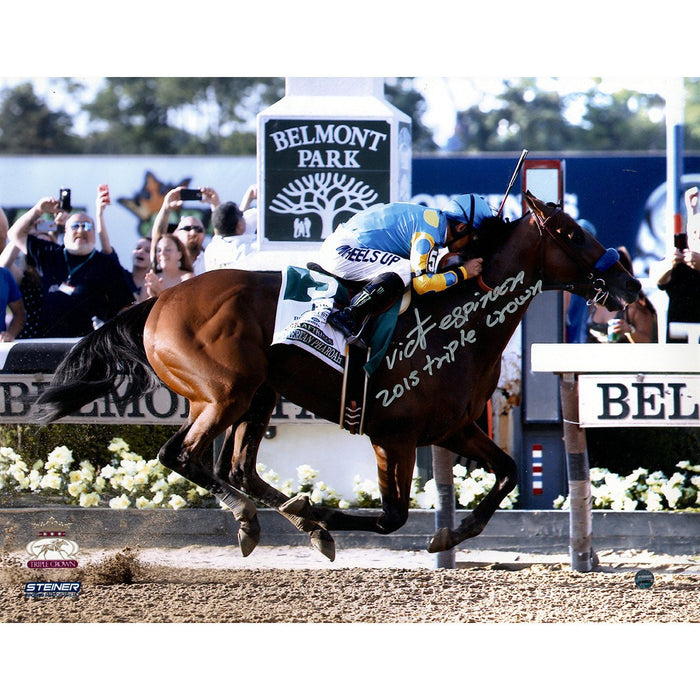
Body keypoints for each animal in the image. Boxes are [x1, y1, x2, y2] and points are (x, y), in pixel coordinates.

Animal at [38, 193, 640, 564]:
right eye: (569, 233)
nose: (630, 283)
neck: (458, 323)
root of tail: (158, 299)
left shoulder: (453, 429)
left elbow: (510, 471)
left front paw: (451, 533)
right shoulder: (392, 435)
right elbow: (393, 517)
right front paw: (321, 511)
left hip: (255, 395)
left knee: (237, 467)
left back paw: (286, 521)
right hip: (224, 393)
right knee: (179, 455)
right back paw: (267, 519)